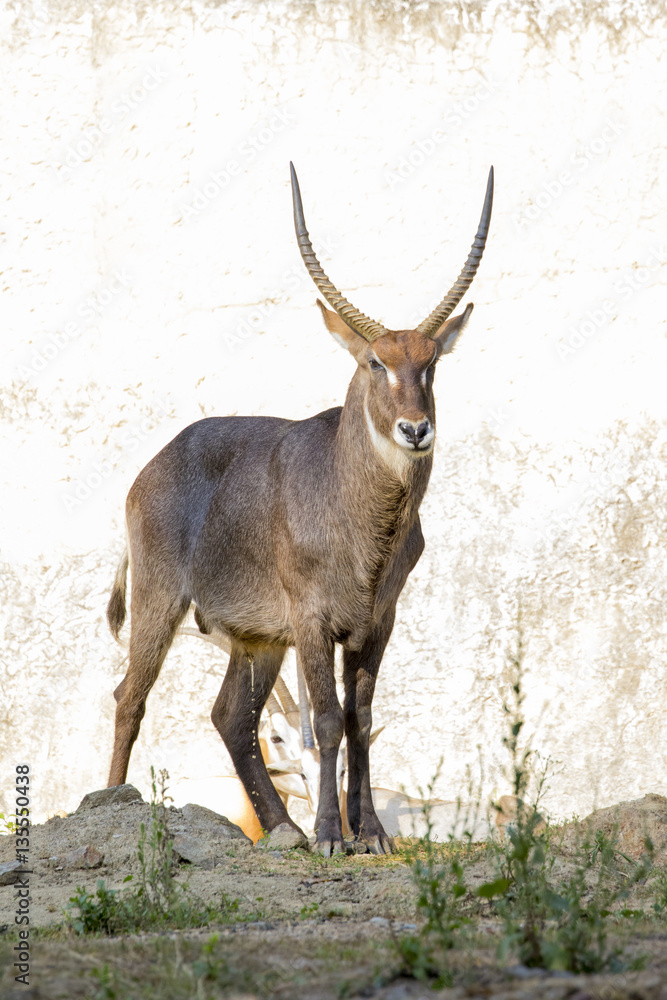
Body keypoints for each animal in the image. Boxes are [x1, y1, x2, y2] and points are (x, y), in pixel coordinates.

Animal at [106, 162, 493, 856]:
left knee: (230, 715)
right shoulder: (313, 620)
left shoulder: (378, 620)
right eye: (375, 360)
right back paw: (109, 800)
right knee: (130, 696)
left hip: (257, 638)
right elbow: (329, 719)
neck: (364, 518)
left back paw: (282, 828)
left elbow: (362, 719)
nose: (415, 429)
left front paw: (372, 835)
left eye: (431, 363)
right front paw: (333, 837)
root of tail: (151, 466)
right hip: (161, 602)